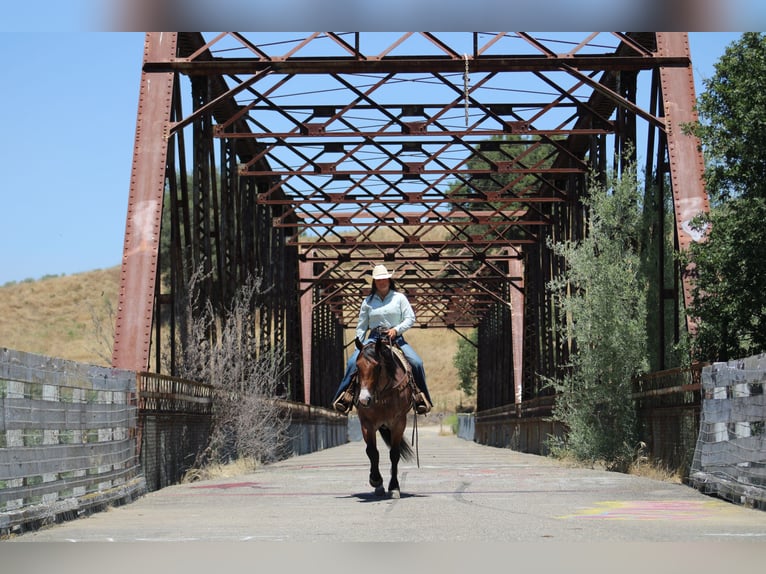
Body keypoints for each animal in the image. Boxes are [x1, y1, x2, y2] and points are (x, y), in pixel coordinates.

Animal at [356, 338, 416, 500]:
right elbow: (372, 451)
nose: (364, 400)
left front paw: (394, 487)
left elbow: (394, 454)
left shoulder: (398, 423)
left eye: (377, 367)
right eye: (357, 366)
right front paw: (376, 480)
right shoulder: (367, 423)